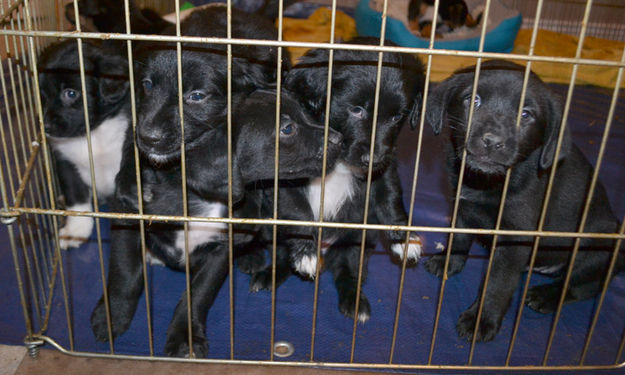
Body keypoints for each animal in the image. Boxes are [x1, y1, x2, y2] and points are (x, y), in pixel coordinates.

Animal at [37, 40, 129, 250]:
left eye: (71, 93)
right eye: (42, 96)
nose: (46, 127)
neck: (90, 134)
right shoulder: (66, 164)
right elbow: (76, 198)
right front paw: (75, 231)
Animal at [90, 6, 334, 358]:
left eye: (196, 96)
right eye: (147, 85)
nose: (148, 137)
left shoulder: (222, 243)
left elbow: (198, 293)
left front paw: (185, 336)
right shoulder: (126, 208)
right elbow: (125, 271)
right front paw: (113, 315)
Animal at [251, 36, 426, 324]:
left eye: (396, 117)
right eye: (356, 110)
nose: (373, 157)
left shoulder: (384, 170)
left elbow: (390, 198)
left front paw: (404, 238)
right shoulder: (285, 179)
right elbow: (298, 212)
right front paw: (306, 252)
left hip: (356, 240)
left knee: (349, 271)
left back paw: (355, 303)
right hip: (271, 229)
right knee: (281, 256)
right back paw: (271, 275)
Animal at [424, 61, 624, 344]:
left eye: (526, 115)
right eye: (472, 100)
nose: (492, 142)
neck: (487, 181)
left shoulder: (515, 238)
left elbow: (497, 282)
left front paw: (480, 320)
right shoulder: (462, 207)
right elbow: (459, 238)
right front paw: (447, 263)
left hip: (596, 245)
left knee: (581, 286)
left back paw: (545, 296)